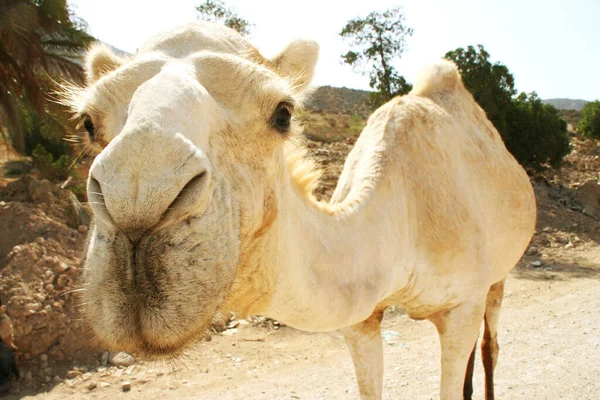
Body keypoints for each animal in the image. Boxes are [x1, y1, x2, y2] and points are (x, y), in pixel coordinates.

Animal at [65, 22, 536, 400]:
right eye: (88, 123)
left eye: (283, 113)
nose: (137, 203)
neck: (403, 226)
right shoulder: (361, 321)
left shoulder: (461, 306)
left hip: (498, 275)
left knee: (490, 347)